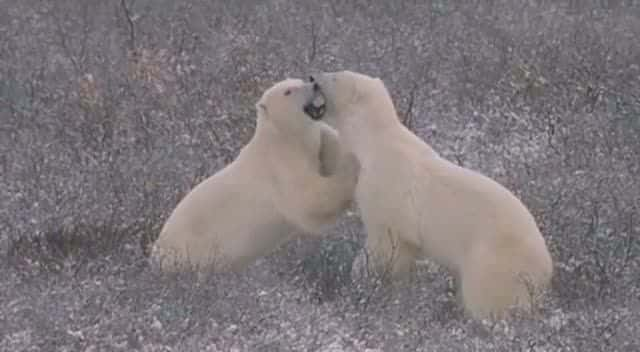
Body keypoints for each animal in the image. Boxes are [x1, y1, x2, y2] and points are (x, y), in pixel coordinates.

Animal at [149, 78, 360, 274]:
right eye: (288, 91)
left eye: (299, 80)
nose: (315, 84)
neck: (281, 137)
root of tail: (155, 254)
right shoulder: (279, 167)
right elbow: (310, 199)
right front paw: (352, 166)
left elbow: (326, 145)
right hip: (192, 254)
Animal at [304, 70, 552, 320]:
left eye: (335, 75)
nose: (313, 77)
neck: (375, 141)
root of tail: (546, 266)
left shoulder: (387, 185)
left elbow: (386, 239)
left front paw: (360, 274)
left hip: (496, 261)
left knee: (485, 298)